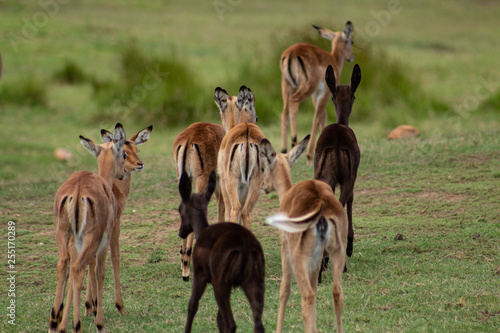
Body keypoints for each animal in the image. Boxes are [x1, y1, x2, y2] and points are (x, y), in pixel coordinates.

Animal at [174, 85, 256, 280]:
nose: (256, 118)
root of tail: (189, 138)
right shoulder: (222, 188)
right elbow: (223, 210)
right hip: (203, 181)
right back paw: (187, 267)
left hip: (183, 179)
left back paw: (183, 263)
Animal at [179, 171, 266, 332]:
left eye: (179, 209)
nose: (180, 232)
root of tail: (245, 248)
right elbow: (219, 318)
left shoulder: (200, 275)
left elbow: (192, 305)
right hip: (254, 282)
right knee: (258, 323)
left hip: (220, 283)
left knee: (231, 323)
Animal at [282, 21, 356, 166]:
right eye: (351, 41)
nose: (351, 57)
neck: (333, 59)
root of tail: (292, 53)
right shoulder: (325, 93)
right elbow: (317, 118)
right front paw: (310, 157)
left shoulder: (316, 95)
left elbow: (323, 115)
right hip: (305, 88)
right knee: (294, 102)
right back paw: (294, 142)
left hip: (287, 86)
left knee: (284, 112)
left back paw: (284, 151)